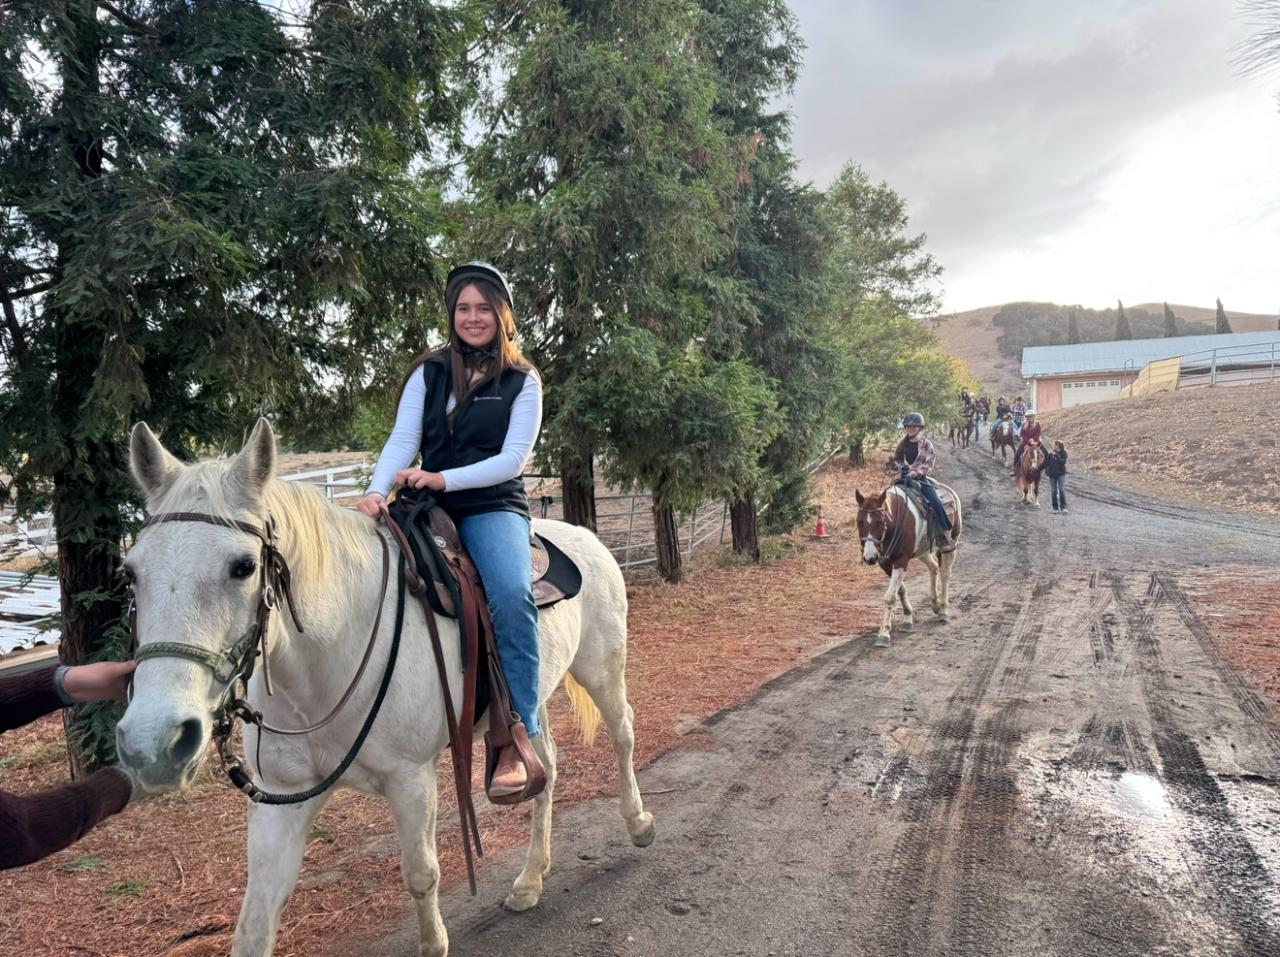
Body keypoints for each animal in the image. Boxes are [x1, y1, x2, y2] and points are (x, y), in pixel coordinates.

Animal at [119, 422, 655, 957]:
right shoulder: (283, 797)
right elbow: (254, 922)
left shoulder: (410, 779)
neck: (330, 659)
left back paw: (638, 824)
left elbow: (421, 875)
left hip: (602, 668)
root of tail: (585, 536)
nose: (154, 743)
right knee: (545, 768)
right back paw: (529, 881)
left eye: (244, 566)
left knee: (623, 734)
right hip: (531, 702)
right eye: (131, 572)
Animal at [855, 481, 962, 647]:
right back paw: (936, 605)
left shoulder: (901, 560)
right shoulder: (886, 563)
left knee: (945, 574)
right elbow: (900, 590)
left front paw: (883, 634)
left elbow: (890, 596)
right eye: (859, 521)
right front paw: (907, 618)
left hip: (950, 546)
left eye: (880, 521)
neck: (895, 522)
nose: (870, 557)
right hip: (922, 551)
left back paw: (943, 610)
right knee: (934, 567)